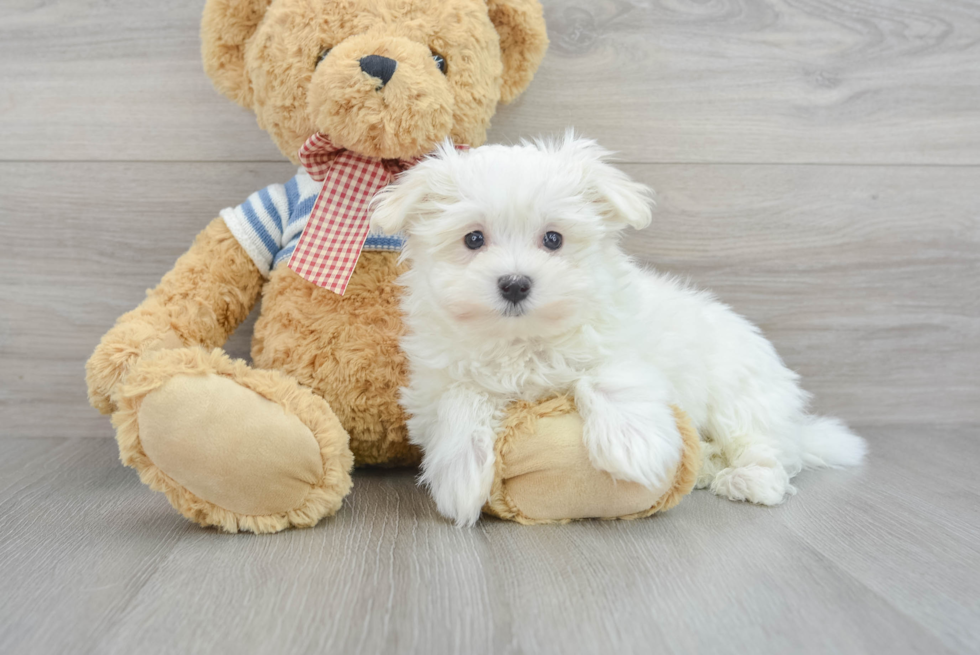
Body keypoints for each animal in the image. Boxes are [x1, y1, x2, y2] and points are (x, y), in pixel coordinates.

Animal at [372, 135, 868, 528]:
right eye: (473, 239)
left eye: (553, 239)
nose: (514, 283)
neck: (524, 340)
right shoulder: (433, 386)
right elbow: (458, 401)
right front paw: (461, 476)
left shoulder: (624, 343)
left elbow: (609, 374)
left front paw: (635, 446)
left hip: (741, 394)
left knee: (767, 447)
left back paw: (750, 479)